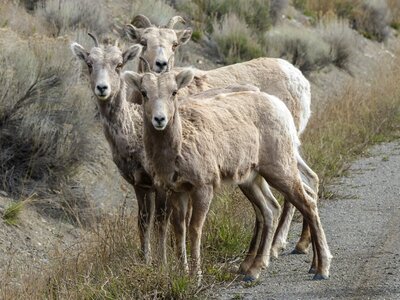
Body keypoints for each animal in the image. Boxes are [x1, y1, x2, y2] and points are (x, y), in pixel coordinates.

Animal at [123, 15, 318, 256]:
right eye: (143, 42)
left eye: (174, 44)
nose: (161, 65)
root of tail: (299, 79)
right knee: (310, 181)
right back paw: (300, 244)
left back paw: (275, 246)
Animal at [124, 68, 332, 282]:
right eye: (144, 93)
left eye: (174, 92)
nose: (159, 119)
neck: (177, 149)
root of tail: (280, 107)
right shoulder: (178, 190)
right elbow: (179, 229)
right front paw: (183, 273)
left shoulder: (203, 188)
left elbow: (194, 229)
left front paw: (196, 275)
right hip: (251, 179)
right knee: (270, 209)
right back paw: (254, 270)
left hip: (280, 169)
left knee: (307, 204)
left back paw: (321, 269)